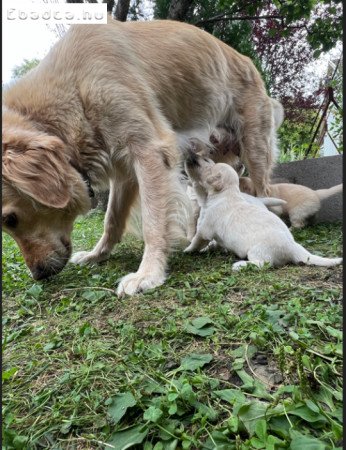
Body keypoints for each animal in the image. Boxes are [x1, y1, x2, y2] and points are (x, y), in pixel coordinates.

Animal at [2, 17, 282, 296]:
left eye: (9, 219)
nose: (38, 274)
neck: (74, 88)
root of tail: (246, 61)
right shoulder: (123, 169)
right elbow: (112, 219)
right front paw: (97, 255)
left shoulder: (149, 150)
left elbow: (153, 222)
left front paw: (148, 273)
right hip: (216, 162)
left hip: (255, 147)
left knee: (263, 191)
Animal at [185, 153, 342, 268]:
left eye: (207, 162)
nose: (190, 153)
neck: (225, 193)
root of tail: (293, 247)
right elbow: (214, 244)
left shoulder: (204, 230)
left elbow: (195, 242)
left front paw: (187, 250)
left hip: (257, 250)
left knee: (263, 264)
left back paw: (240, 265)